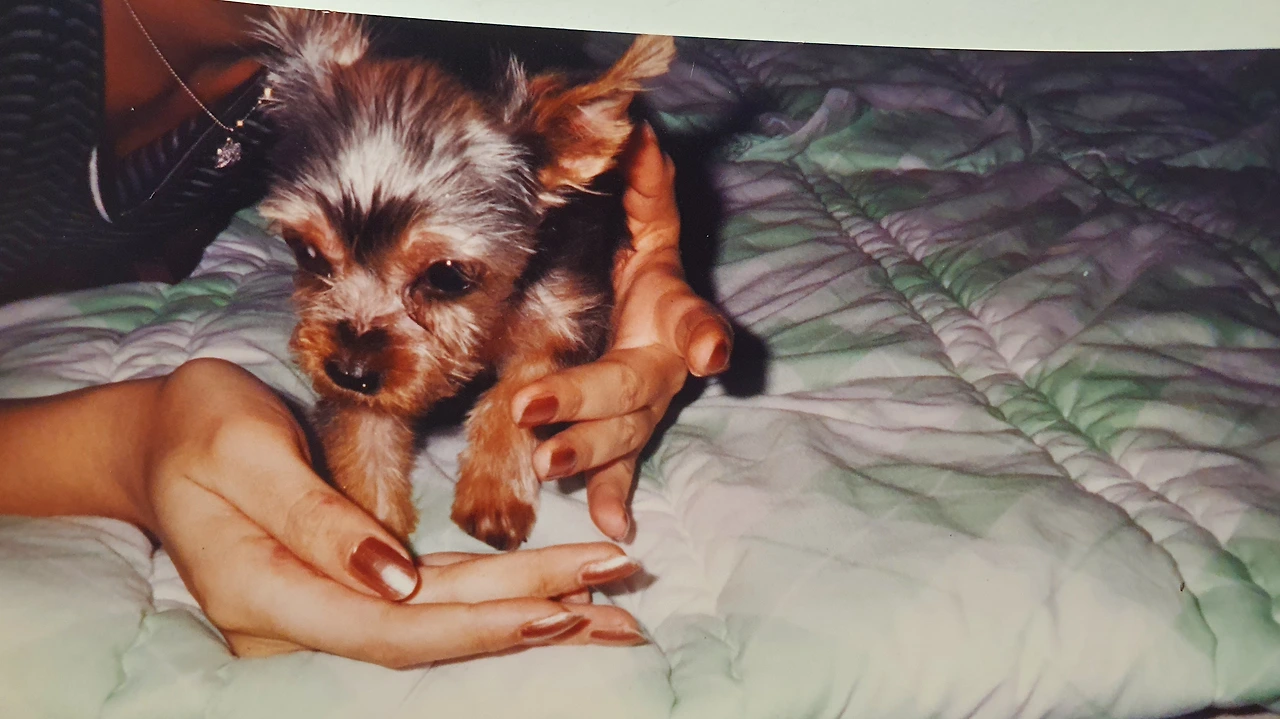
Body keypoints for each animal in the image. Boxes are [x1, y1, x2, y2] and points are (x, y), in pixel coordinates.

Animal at [253, 9, 675, 550]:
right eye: (305, 251)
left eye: (447, 277)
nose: (350, 372)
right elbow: (362, 429)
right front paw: (371, 516)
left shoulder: (566, 306)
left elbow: (523, 390)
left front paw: (493, 490)